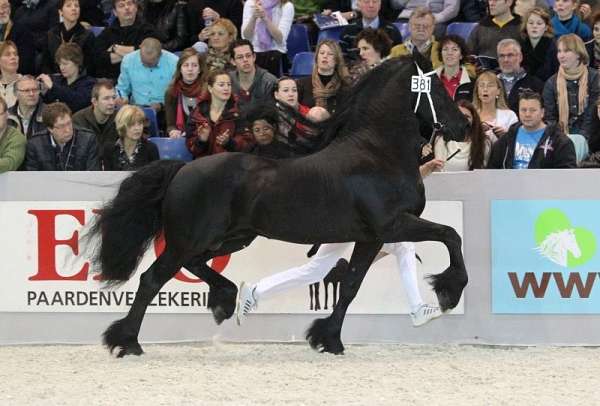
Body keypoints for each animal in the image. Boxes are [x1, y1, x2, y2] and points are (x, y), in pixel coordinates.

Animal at [90, 53, 468, 356]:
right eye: (436, 88)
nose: (464, 125)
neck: (377, 154)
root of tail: (182, 167)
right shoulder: (391, 225)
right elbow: (451, 235)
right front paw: (448, 292)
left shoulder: (371, 237)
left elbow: (350, 286)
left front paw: (328, 339)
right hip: (190, 240)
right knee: (151, 279)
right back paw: (127, 342)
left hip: (231, 238)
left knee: (195, 266)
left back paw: (226, 300)